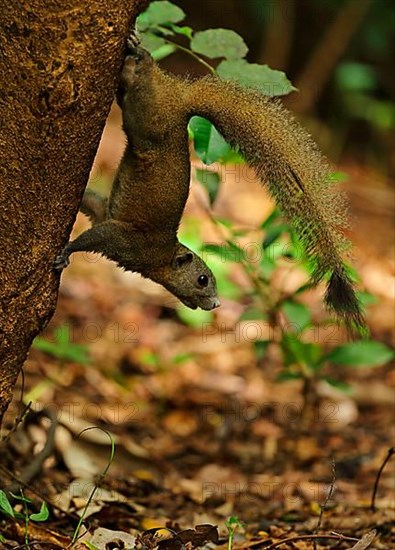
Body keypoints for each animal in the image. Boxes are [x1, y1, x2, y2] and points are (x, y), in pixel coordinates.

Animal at [54, 35, 366, 336]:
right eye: (202, 280)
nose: (216, 304)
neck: (163, 256)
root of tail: (181, 97)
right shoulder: (127, 242)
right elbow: (94, 236)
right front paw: (66, 253)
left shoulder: (104, 214)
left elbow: (93, 203)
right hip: (148, 116)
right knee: (143, 82)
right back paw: (138, 53)